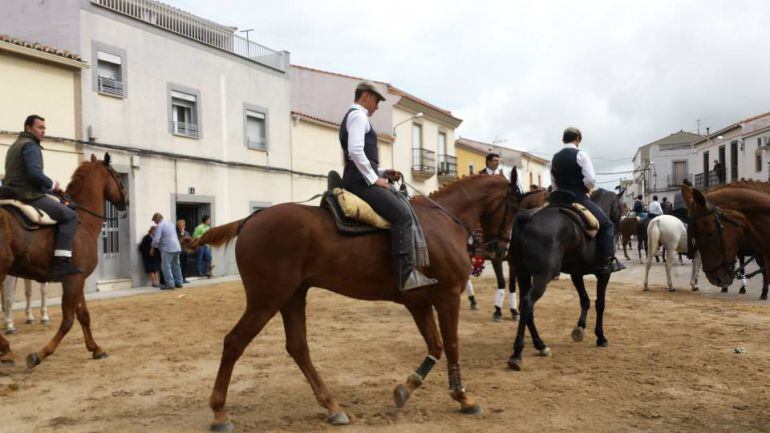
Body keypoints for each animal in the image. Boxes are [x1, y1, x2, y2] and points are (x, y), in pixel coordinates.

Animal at [0, 154, 127, 366]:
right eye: (116, 175)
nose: (126, 201)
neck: (82, 221)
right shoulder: (73, 280)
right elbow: (68, 319)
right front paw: (41, 353)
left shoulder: (78, 278)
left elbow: (83, 315)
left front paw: (96, 349)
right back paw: (7, 347)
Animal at [189, 171, 520, 428]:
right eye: (514, 207)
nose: (499, 250)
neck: (443, 221)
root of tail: (250, 220)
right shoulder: (447, 297)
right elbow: (451, 345)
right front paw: (463, 396)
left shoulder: (419, 303)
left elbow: (435, 346)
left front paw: (406, 388)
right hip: (267, 299)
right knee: (234, 342)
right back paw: (219, 412)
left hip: (292, 297)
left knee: (298, 348)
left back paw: (332, 406)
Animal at [508, 187, 620, 370]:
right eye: (619, 206)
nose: (618, 225)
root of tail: (527, 218)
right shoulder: (604, 274)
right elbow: (600, 304)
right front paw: (600, 337)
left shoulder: (576, 274)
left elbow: (585, 300)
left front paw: (579, 329)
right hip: (542, 276)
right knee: (527, 303)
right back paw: (517, 354)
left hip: (522, 274)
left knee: (527, 306)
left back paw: (540, 345)